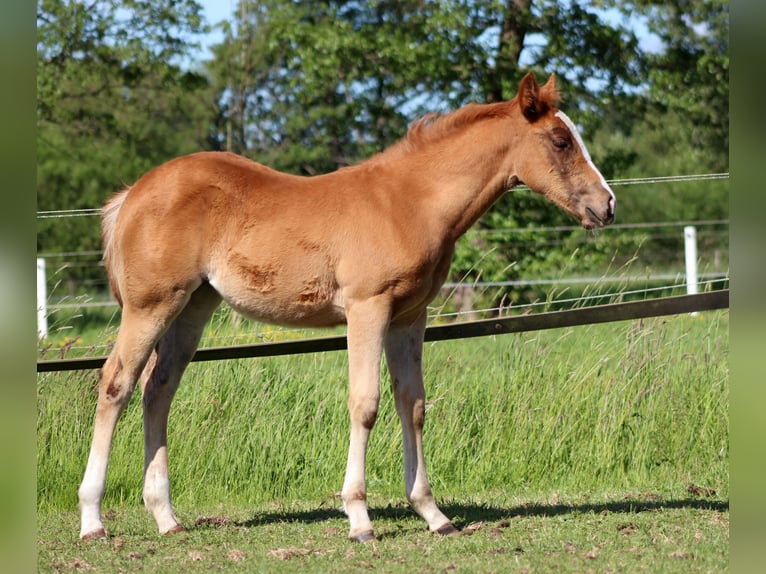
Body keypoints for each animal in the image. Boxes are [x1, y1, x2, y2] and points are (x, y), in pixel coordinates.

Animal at [78, 72, 616, 542]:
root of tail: (132, 194)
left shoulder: (408, 317)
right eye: (560, 141)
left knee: (158, 391)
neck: (411, 201)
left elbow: (412, 404)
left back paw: (166, 518)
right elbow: (366, 403)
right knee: (117, 385)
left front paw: (433, 515)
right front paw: (359, 519)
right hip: (150, 305)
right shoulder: (367, 308)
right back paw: (92, 520)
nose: (607, 205)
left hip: (192, 307)